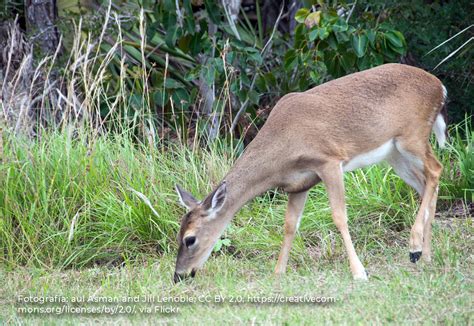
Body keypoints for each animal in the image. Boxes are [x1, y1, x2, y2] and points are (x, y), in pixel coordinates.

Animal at [172, 63, 446, 282]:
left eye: (190, 239)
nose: (179, 276)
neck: (282, 150)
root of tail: (440, 87)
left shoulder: (329, 160)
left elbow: (339, 216)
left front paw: (359, 272)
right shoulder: (299, 183)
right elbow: (290, 225)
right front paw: (278, 273)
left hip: (413, 136)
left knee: (436, 169)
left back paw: (414, 248)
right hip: (394, 154)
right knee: (425, 183)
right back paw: (426, 255)